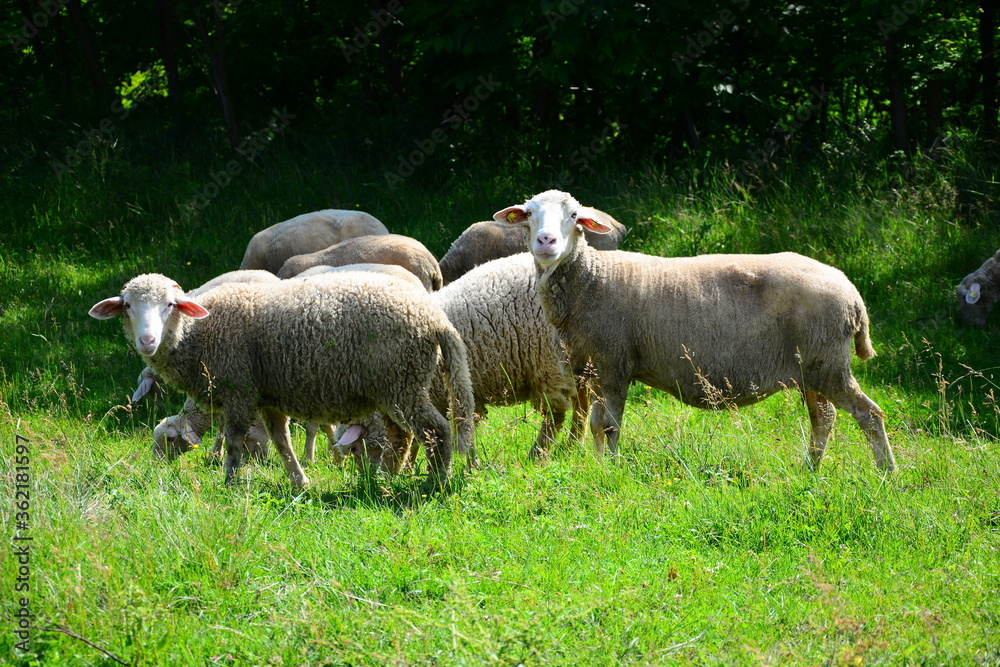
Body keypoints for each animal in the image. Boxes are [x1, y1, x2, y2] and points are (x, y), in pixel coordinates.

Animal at [89, 271, 476, 488]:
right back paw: (387, 480)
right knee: (402, 436)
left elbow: (234, 441)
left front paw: (229, 484)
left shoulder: (239, 389)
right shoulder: (267, 397)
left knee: (436, 430)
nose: (147, 340)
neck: (198, 334)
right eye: (127, 306)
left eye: (170, 304)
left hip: (402, 381)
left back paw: (435, 482)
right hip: (393, 387)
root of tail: (434, 318)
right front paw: (300, 482)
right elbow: (281, 441)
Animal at [330, 253, 588, 470]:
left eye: (355, 449)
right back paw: (573, 443)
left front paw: (467, 466)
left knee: (556, 414)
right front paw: (412, 468)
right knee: (582, 404)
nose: (370, 481)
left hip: (548, 364)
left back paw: (537, 453)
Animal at [494, 189, 895, 472]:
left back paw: (886, 474)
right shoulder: (592, 369)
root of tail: (852, 293)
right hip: (813, 369)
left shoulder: (615, 364)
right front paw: (597, 465)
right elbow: (594, 425)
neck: (592, 279)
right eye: (529, 214)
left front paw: (611, 469)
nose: (547, 242)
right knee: (823, 419)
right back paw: (810, 469)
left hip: (828, 364)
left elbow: (608, 426)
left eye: (574, 216)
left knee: (869, 415)